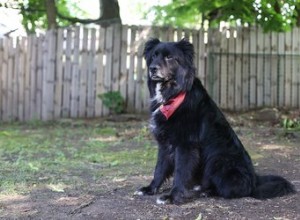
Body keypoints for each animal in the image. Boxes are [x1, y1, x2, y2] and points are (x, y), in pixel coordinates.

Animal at [136, 38, 296, 205]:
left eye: (169, 57)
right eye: (154, 56)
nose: (153, 68)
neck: (174, 94)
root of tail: (254, 180)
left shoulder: (186, 145)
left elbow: (180, 172)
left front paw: (172, 196)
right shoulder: (164, 143)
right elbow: (159, 168)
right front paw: (150, 188)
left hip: (218, 161)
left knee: (231, 190)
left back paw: (203, 191)